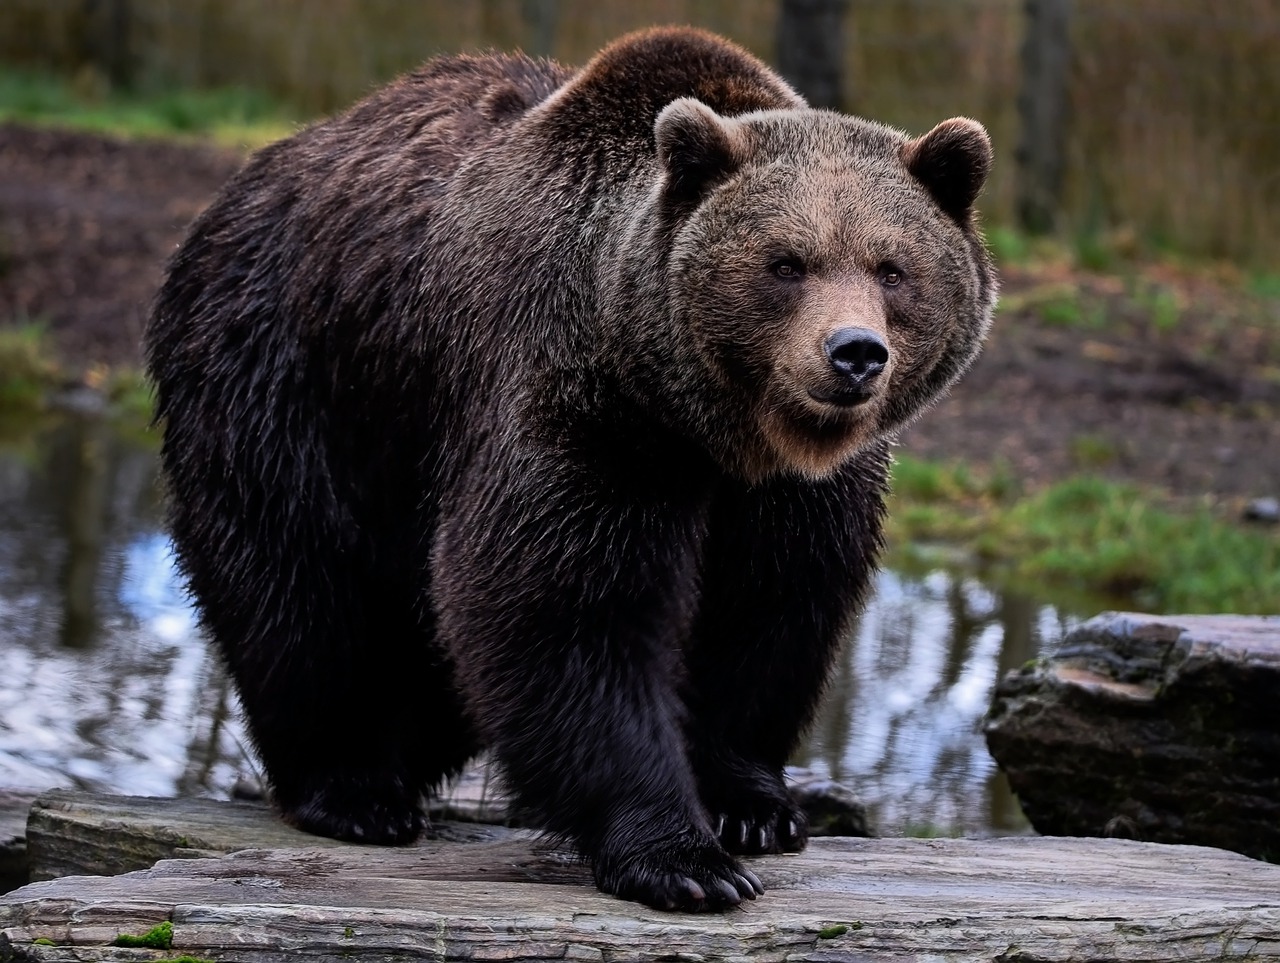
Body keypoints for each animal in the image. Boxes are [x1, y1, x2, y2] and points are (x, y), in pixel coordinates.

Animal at [145, 24, 993, 911]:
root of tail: (249, 178)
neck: (711, 428)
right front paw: (683, 858)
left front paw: (753, 808)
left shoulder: (794, 493)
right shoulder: (581, 408)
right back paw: (354, 787)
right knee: (299, 580)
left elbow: (770, 608)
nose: (853, 353)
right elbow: (568, 607)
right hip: (295, 373)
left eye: (892, 267)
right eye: (786, 263)